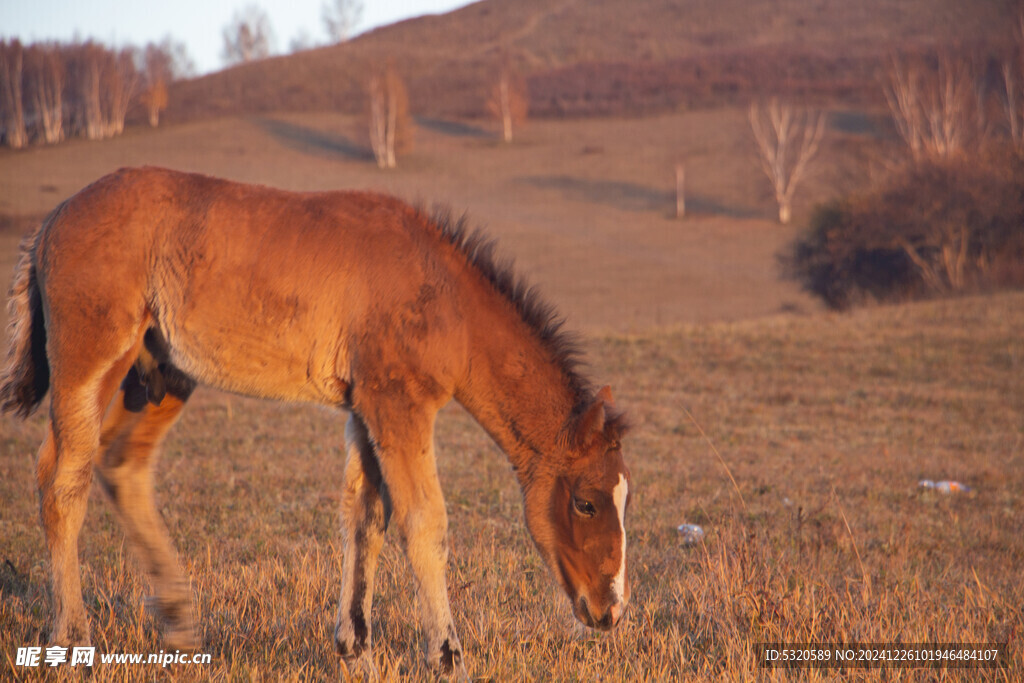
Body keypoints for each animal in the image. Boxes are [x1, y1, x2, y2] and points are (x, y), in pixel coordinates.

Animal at [0, 166, 626, 679]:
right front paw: (449, 659)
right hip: (92, 358)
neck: (448, 298)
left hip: (164, 373)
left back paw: (179, 628)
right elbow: (424, 523)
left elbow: (365, 517)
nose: (610, 609)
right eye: (586, 503)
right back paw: (70, 640)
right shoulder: (399, 405)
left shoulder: (365, 408)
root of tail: (52, 222)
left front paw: (356, 652)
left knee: (120, 467)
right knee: (62, 480)